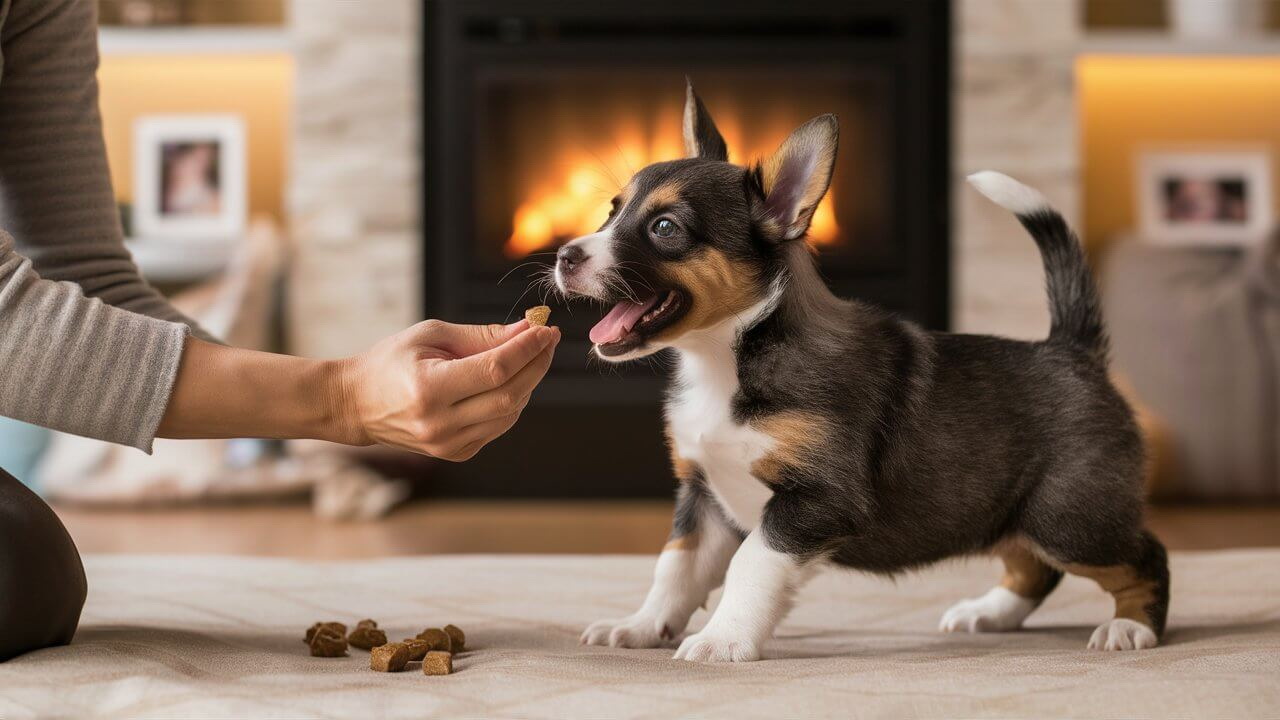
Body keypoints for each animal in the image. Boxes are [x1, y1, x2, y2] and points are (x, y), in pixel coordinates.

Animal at [550, 81, 1172, 661]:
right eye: (612, 210)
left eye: (664, 228)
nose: (563, 256)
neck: (728, 358)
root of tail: (1072, 348)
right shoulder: (702, 494)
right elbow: (674, 568)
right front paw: (640, 626)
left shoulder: (812, 502)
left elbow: (749, 566)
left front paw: (722, 641)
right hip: (1015, 514)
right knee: (1034, 568)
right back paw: (988, 613)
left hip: (1068, 517)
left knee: (1145, 556)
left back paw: (1130, 628)